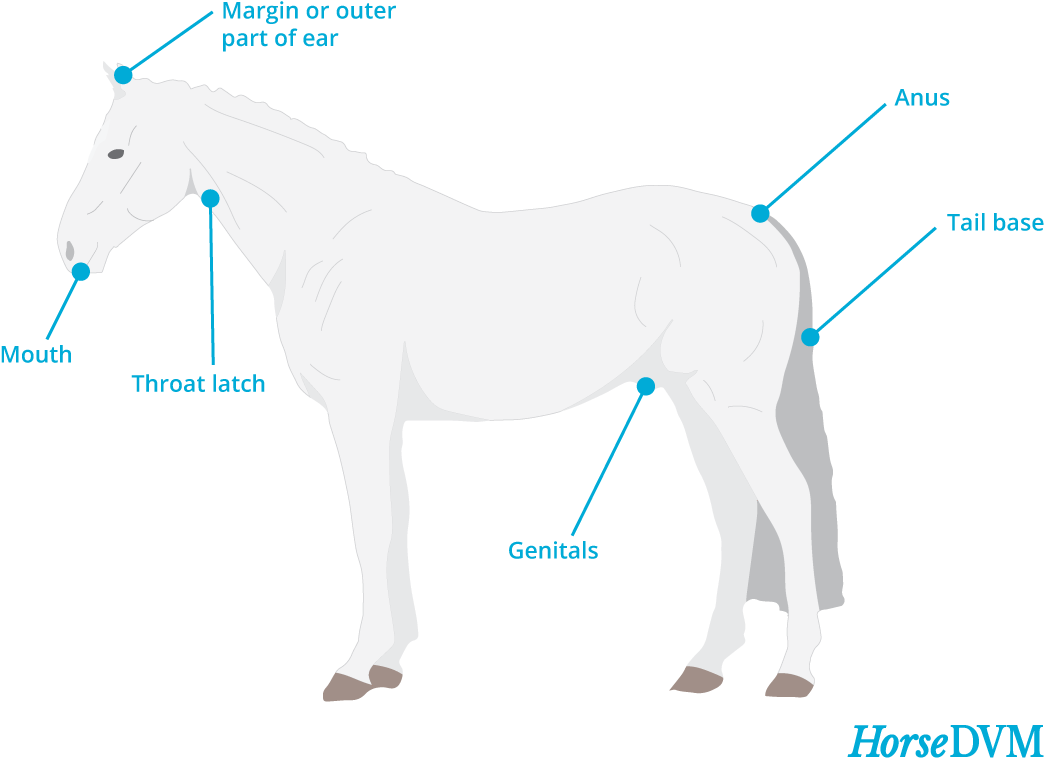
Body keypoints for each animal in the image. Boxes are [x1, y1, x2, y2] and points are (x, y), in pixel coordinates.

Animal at [57, 63, 843, 700]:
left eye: (116, 151)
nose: (70, 249)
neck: (329, 242)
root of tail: (762, 227)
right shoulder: (380, 418)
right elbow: (394, 519)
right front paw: (390, 659)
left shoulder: (358, 412)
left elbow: (371, 525)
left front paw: (356, 669)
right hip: (695, 400)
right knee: (736, 510)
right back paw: (705, 665)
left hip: (733, 403)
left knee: (788, 500)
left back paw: (793, 671)